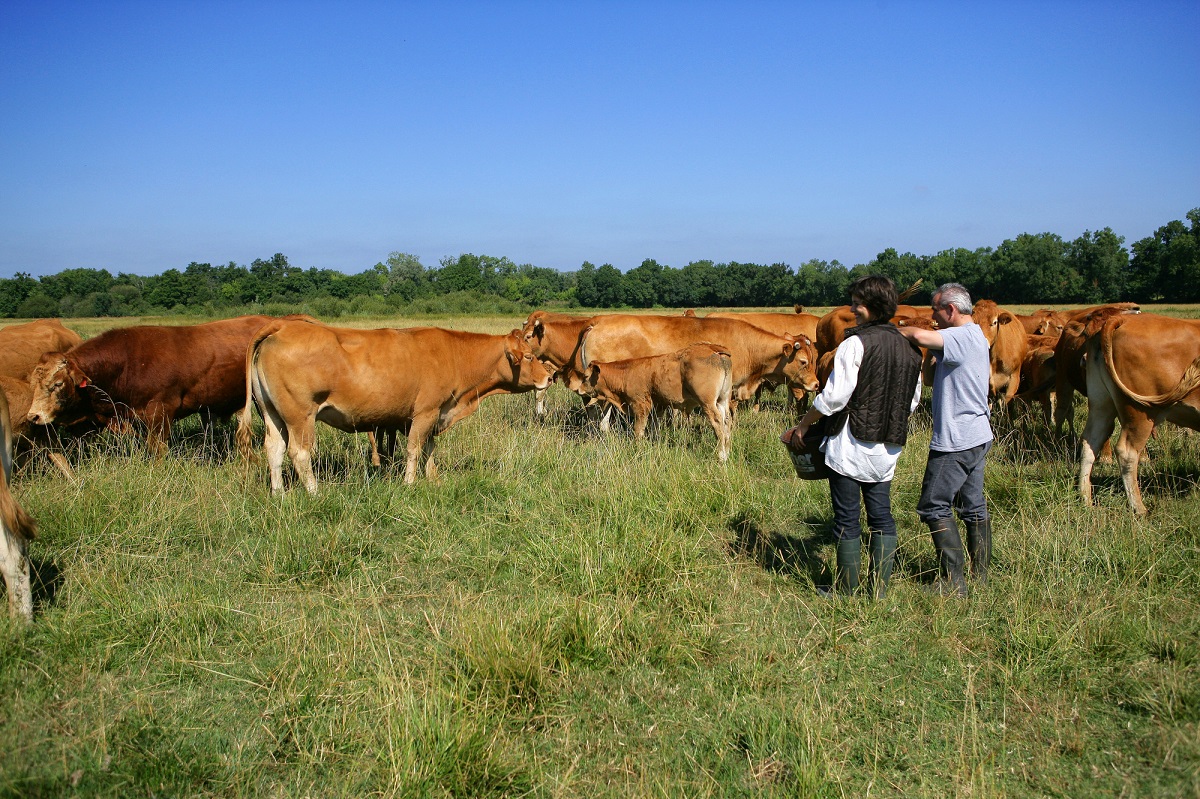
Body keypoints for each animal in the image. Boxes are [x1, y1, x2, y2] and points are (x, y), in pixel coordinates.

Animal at [27, 316, 294, 453]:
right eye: (33, 383)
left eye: (58, 384)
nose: (33, 416)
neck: (127, 362)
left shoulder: (160, 412)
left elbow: (157, 450)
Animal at [235, 321, 552, 489]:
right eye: (527, 356)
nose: (549, 377)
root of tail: (284, 325)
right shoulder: (425, 412)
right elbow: (414, 449)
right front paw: (410, 483)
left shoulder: (434, 414)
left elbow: (429, 449)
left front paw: (433, 479)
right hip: (299, 417)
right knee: (299, 454)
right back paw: (314, 492)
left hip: (272, 414)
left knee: (274, 450)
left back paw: (279, 494)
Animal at [578, 343, 734, 460]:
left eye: (585, 376)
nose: (579, 389)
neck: (627, 373)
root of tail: (713, 349)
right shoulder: (659, 406)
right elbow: (654, 428)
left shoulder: (641, 405)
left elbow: (638, 429)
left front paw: (638, 448)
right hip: (722, 400)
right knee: (726, 423)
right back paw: (726, 454)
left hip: (708, 403)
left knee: (718, 424)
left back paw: (721, 456)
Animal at [1080, 311, 1200, 511]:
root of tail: (1122, 318)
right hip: (1140, 413)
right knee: (1126, 452)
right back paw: (1139, 508)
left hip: (1101, 403)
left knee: (1090, 442)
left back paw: (1086, 500)